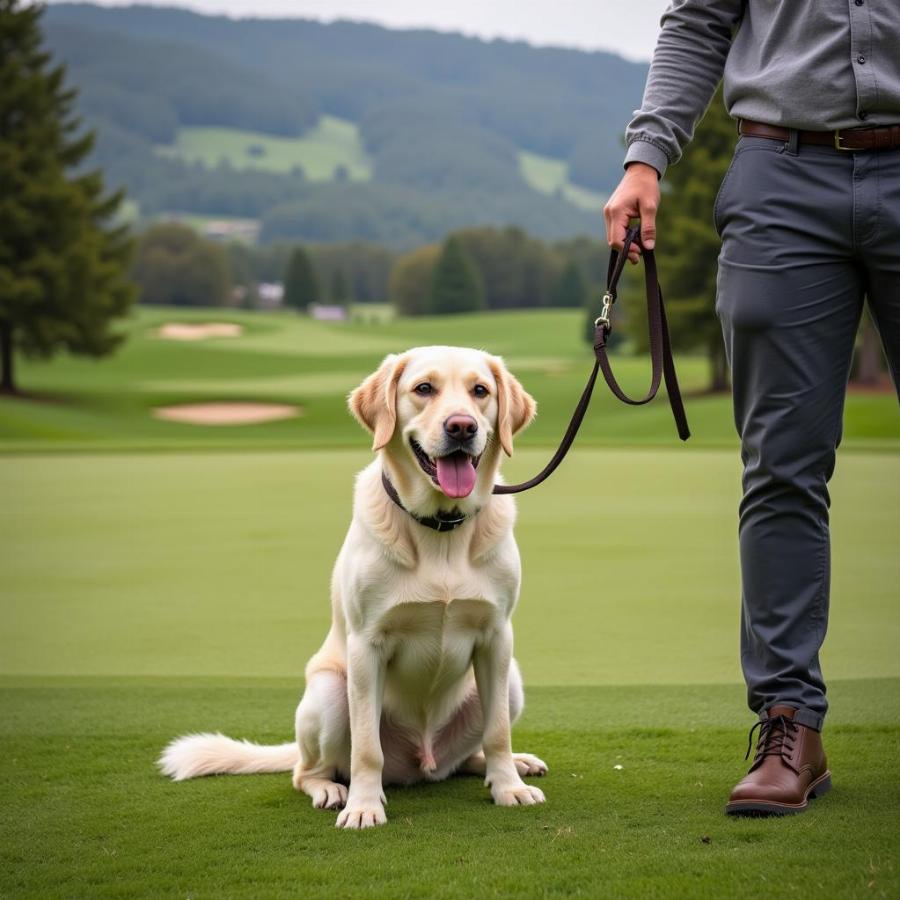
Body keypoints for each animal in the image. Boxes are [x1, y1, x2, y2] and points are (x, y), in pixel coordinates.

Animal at [158, 346, 544, 828]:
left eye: (480, 391)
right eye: (424, 388)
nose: (462, 426)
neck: (440, 528)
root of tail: (420, 763)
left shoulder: (496, 638)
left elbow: (497, 733)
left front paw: (509, 787)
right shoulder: (367, 645)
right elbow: (366, 747)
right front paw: (363, 806)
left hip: (511, 681)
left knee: (463, 759)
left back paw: (508, 767)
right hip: (329, 694)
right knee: (308, 770)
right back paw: (331, 790)